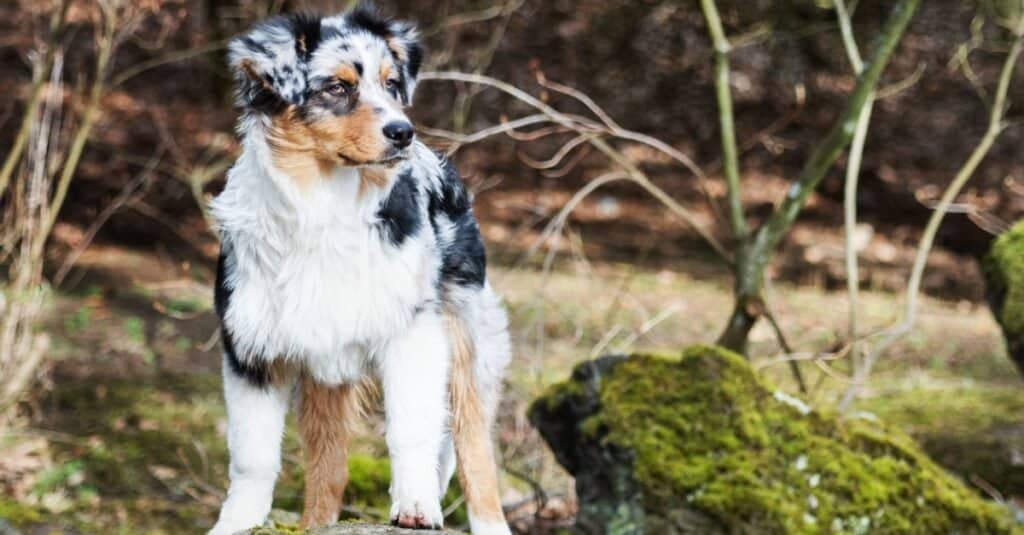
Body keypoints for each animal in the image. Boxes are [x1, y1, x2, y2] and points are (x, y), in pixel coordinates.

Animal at [208, 5, 512, 532]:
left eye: (392, 84)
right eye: (336, 87)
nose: (403, 132)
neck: (323, 203)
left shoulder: (413, 332)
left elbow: (411, 428)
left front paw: (415, 504)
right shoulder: (251, 349)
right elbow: (252, 455)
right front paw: (238, 520)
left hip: (466, 339)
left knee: (473, 448)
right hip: (326, 369)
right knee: (329, 469)